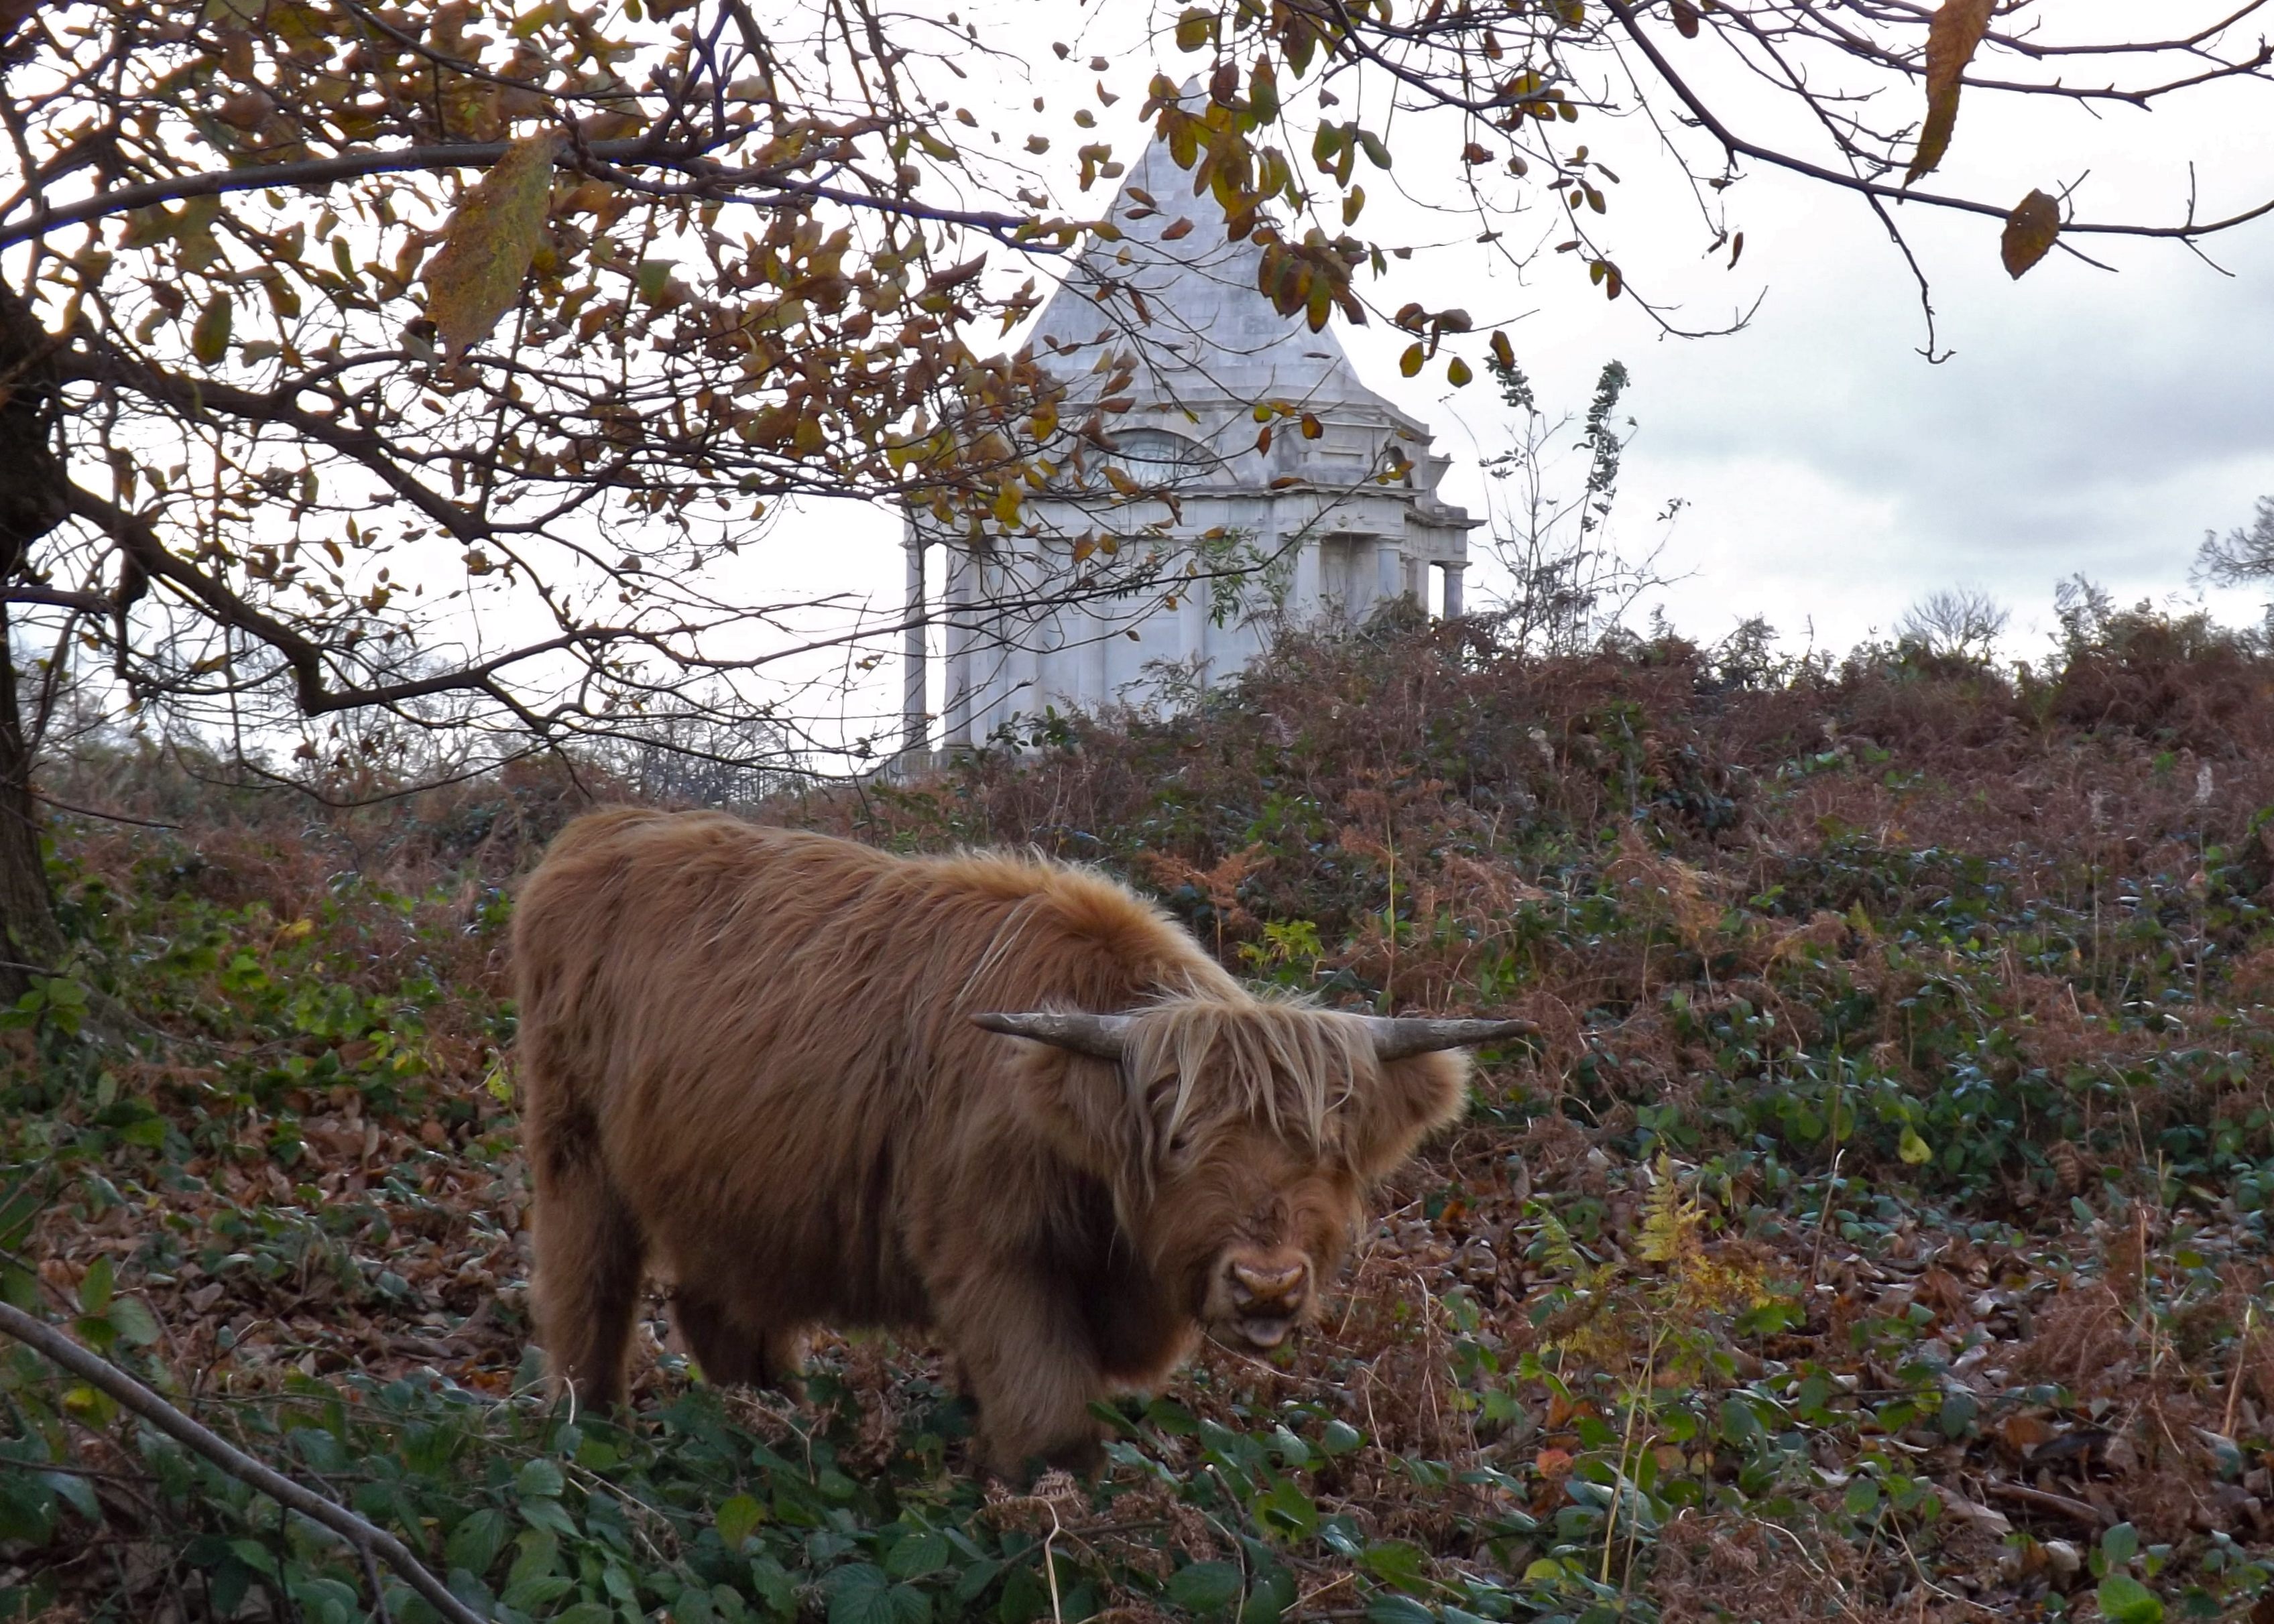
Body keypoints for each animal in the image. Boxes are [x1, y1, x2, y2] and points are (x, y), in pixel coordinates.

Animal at [512, 808, 1528, 1475]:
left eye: (1328, 1145)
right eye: (1180, 1141)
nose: (1267, 1282)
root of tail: (603, 826)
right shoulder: (994, 1254)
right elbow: (1048, 1425)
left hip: (741, 1192)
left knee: (720, 1309)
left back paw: (782, 1426)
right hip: (573, 1153)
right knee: (587, 1295)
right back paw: (590, 1431)